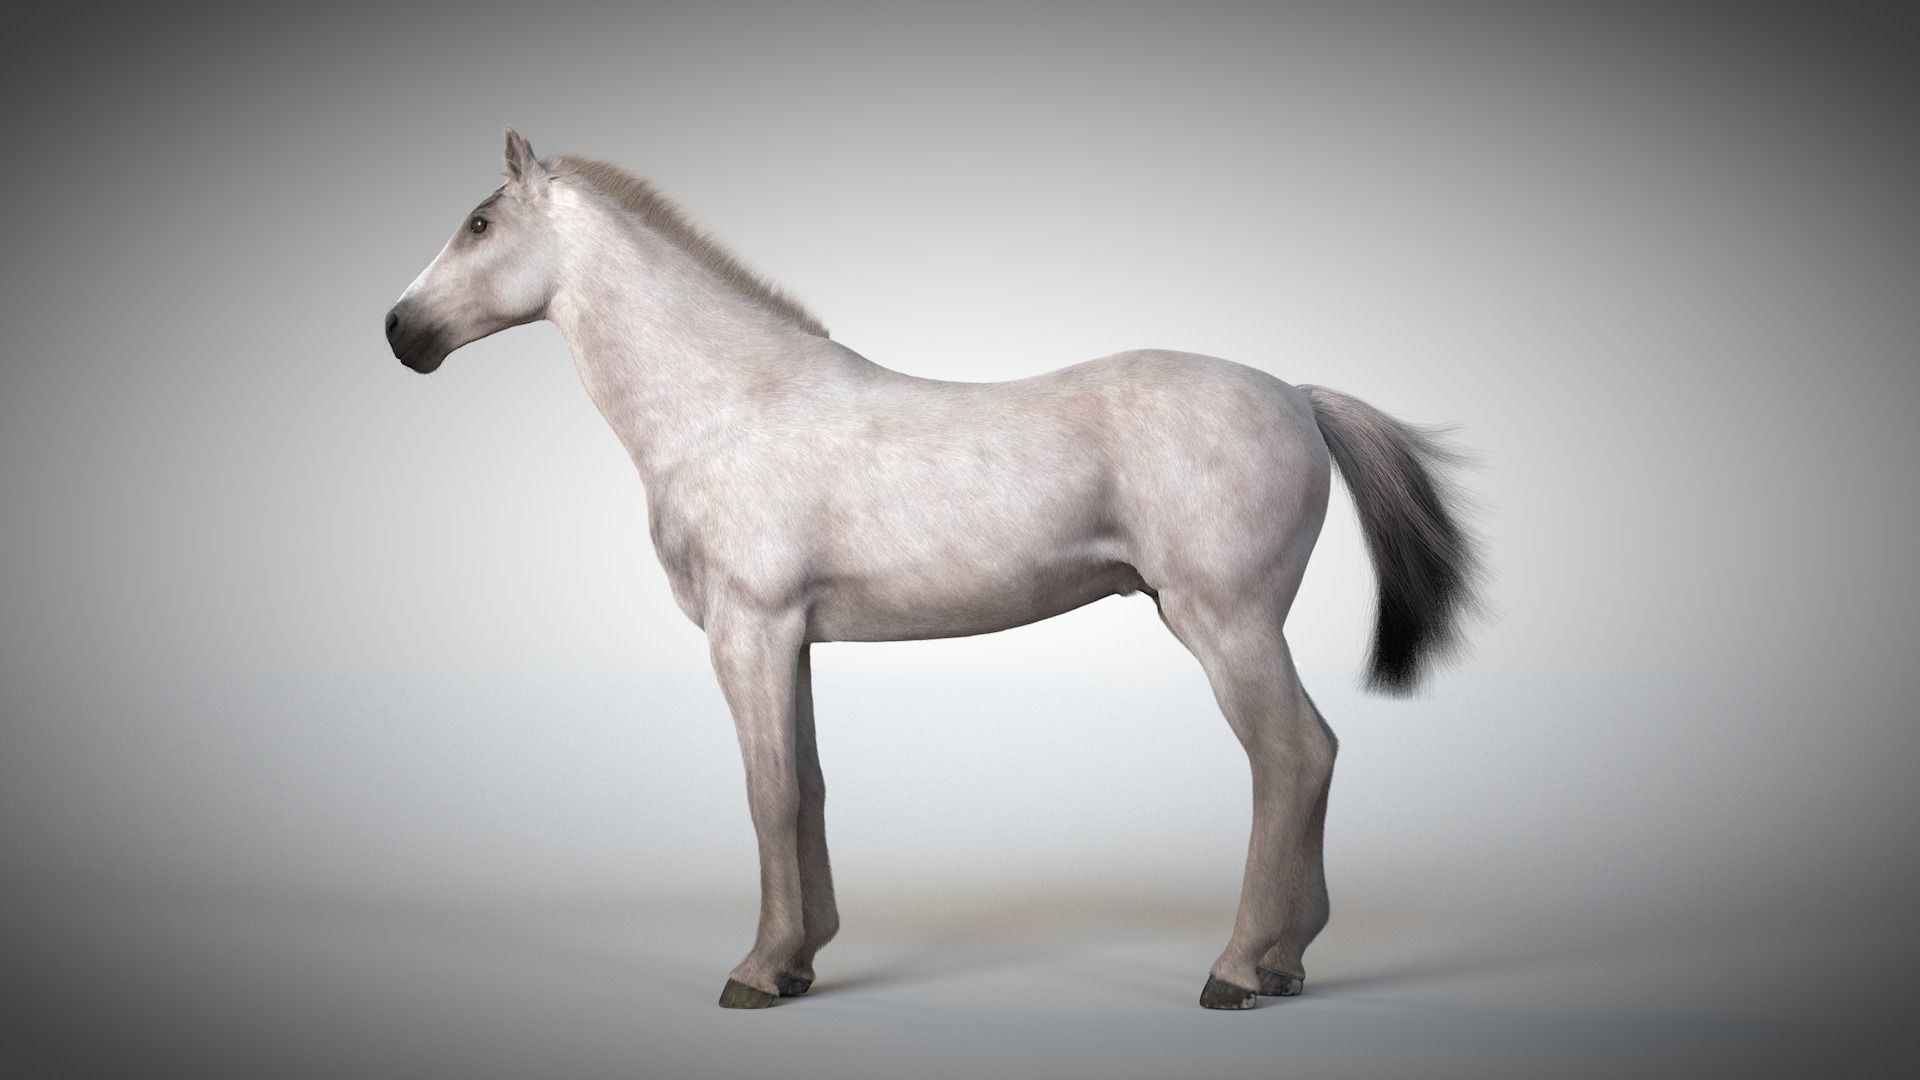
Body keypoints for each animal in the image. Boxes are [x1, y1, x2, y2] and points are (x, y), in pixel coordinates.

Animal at [385, 127, 1482, 1010]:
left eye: (480, 223)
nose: (400, 333)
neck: (730, 405)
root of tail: (1298, 396)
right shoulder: (792, 641)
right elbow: (809, 786)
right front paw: (803, 958)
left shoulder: (749, 630)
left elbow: (766, 794)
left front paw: (758, 972)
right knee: (1313, 755)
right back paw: (1287, 961)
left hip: (1226, 622)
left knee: (1290, 759)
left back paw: (1241, 969)